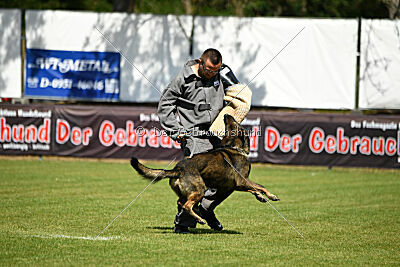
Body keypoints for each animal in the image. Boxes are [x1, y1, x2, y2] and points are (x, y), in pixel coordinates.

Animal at [130, 114, 278, 225]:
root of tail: (178, 169)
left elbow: (255, 188)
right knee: (187, 205)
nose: (226, 114)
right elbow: (260, 186)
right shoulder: (241, 181)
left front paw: (261, 196)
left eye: (231, 124)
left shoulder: (236, 185)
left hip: (187, 192)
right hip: (200, 190)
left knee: (180, 202)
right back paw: (200, 219)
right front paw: (271, 196)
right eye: (235, 123)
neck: (235, 147)